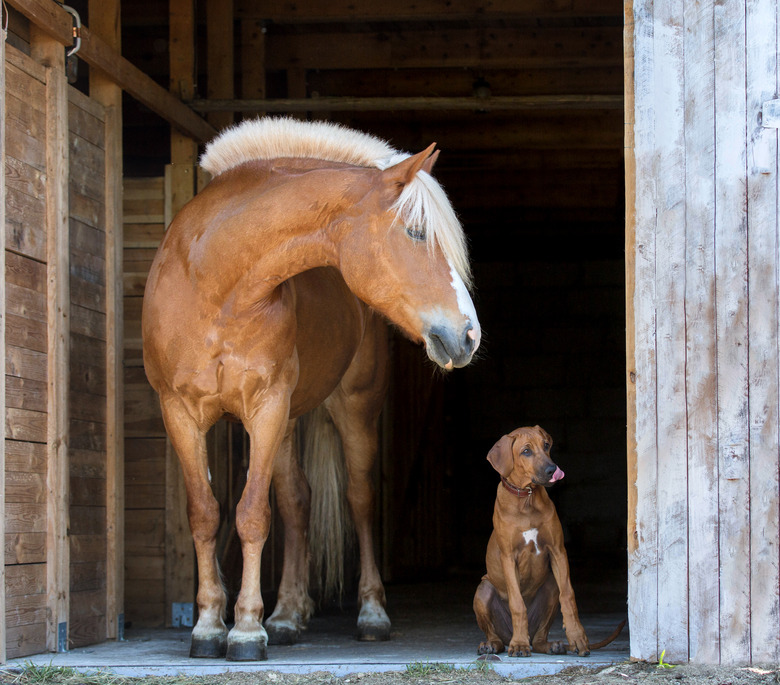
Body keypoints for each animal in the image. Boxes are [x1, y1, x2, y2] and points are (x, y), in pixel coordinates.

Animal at [141, 116, 482, 656]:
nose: (469, 335)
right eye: (415, 232)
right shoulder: (180, 412)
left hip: (351, 408)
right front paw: (210, 626)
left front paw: (245, 630)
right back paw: (286, 615)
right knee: (297, 501)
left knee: (359, 499)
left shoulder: (267, 406)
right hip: (287, 422)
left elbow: (252, 514)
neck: (214, 284)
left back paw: (369, 613)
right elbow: (206, 514)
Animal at [472, 424, 620, 656]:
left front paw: (577, 636)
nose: (553, 470)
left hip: (550, 587)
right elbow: (517, 603)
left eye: (546, 445)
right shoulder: (508, 557)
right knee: (495, 636)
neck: (527, 498)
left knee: (541, 636)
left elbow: (568, 595)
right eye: (526, 451)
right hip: (483, 590)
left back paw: (552, 645)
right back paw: (495, 644)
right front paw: (519, 644)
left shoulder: (558, 550)